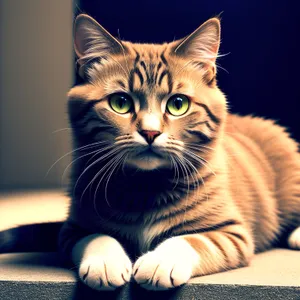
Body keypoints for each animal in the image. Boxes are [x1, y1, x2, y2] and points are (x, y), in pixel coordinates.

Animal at [1, 12, 298, 292]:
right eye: (120, 103)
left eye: (178, 104)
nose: (150, 132)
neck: (145, 187)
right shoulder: (72, 229)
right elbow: (96, 236)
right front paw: (105, 262)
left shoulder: (232, 232)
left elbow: (191, 240)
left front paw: (160, 262)